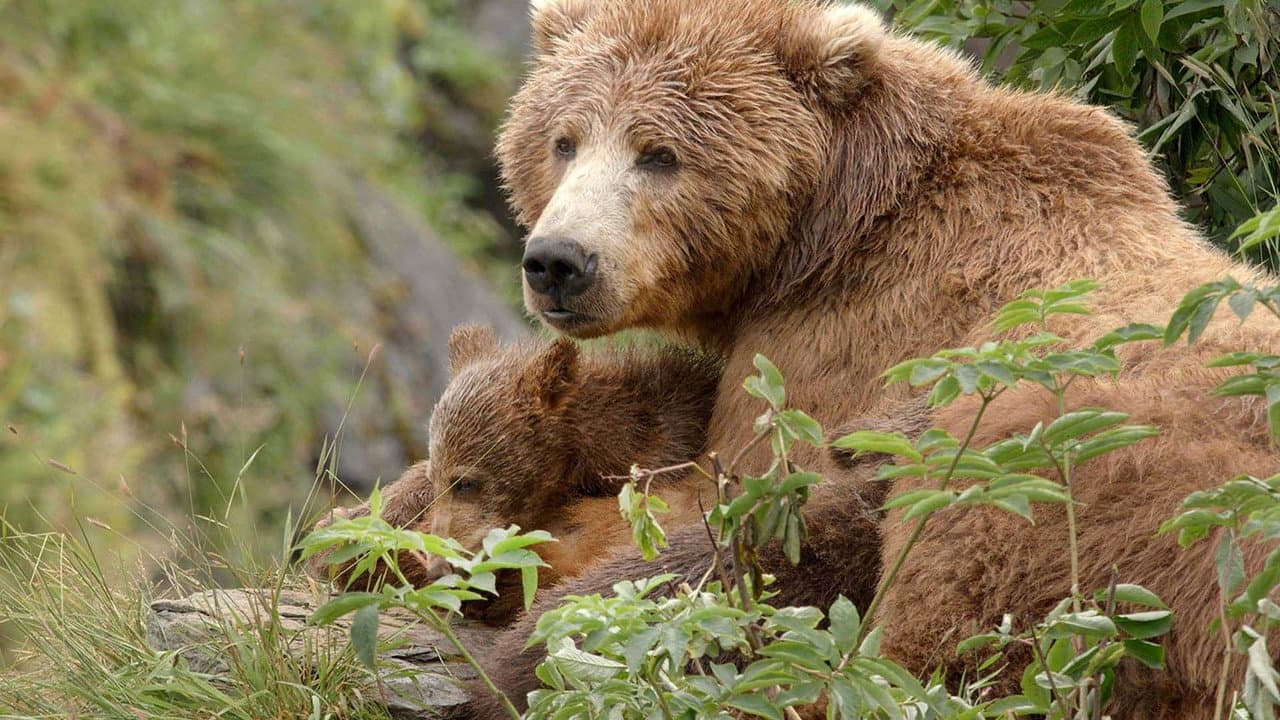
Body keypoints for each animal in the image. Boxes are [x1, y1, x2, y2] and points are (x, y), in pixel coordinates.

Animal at [469, 0, 1280, 716]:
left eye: (659, 154)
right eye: (563, 140)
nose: (559, 261)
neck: (825, 231)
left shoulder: (837, 345)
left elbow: (711, 496)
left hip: (1067, 472)